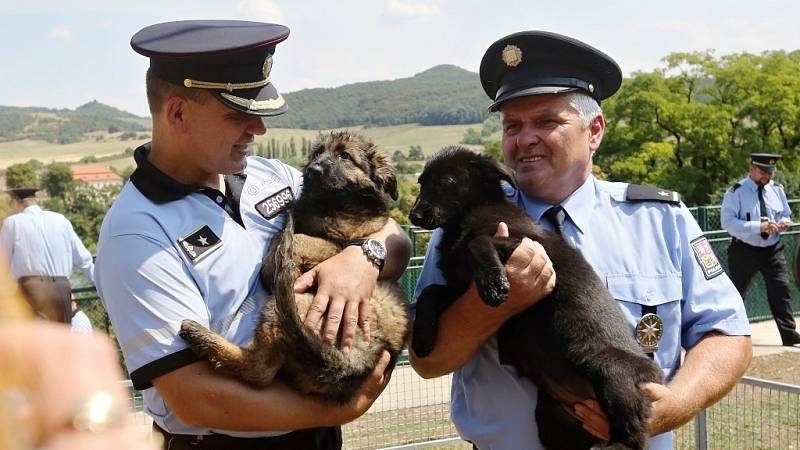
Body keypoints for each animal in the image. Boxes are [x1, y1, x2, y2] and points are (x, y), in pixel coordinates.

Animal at [180, 130, 406, 404]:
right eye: (317, 152)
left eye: (345, 156)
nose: (312, 170)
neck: (331, 202)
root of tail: (349, 365)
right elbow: (285, 238)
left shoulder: (338, 247)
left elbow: (297, 239)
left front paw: (275, 266)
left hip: (288, 307)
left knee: (260, 370)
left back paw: (197, 333)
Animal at [410, 146, 660, 448]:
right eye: (422, 182)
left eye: (446, 182)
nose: (413, 216)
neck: (466, 217)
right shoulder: (459, 287)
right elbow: (429, 292)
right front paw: (422, 338)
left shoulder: (525, 244)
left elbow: (477, 242)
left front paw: (494, 283)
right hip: (551, 421)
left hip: (613, 375)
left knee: (632, 436)